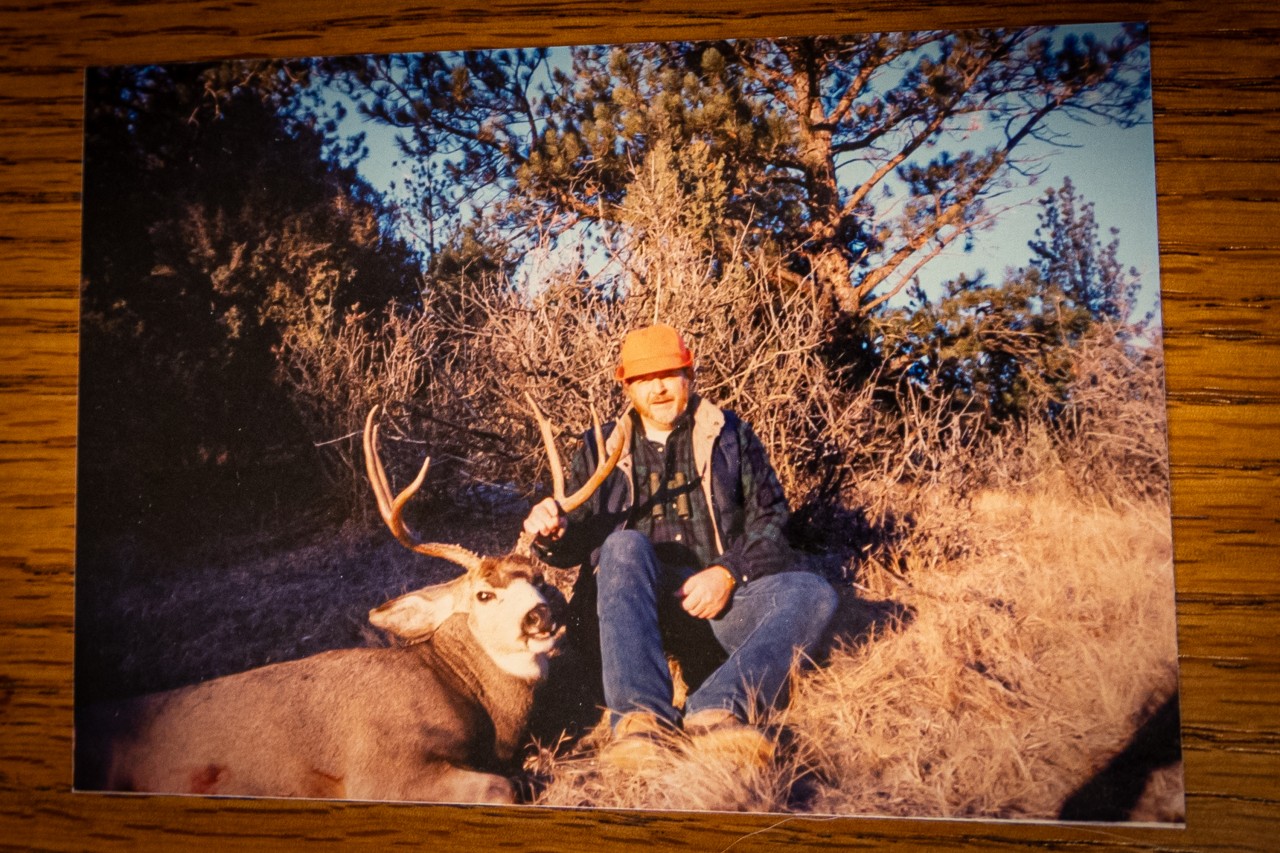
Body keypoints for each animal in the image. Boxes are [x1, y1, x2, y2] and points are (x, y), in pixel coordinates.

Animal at [75, 398, 629, 804]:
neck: (461, 692)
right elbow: (506, 786)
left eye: (538, 577)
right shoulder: (379, 768)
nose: (542, 615)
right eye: (484, 593)